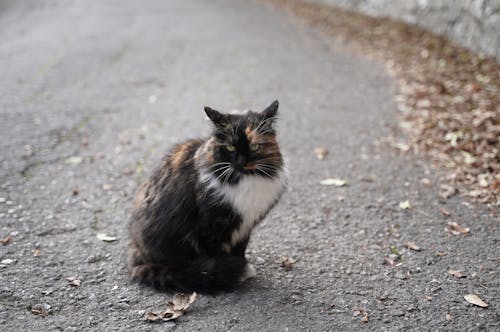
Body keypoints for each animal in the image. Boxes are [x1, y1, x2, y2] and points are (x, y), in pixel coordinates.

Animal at [127, 100, 288, 292]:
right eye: (230, 147)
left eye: (255, 146)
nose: (241, 162)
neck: (244, 179)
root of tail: (135, 253)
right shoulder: (210, 226)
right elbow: (215, 255)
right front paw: (232, 274)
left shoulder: (245, 225)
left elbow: (240, 249)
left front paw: (241, 267)